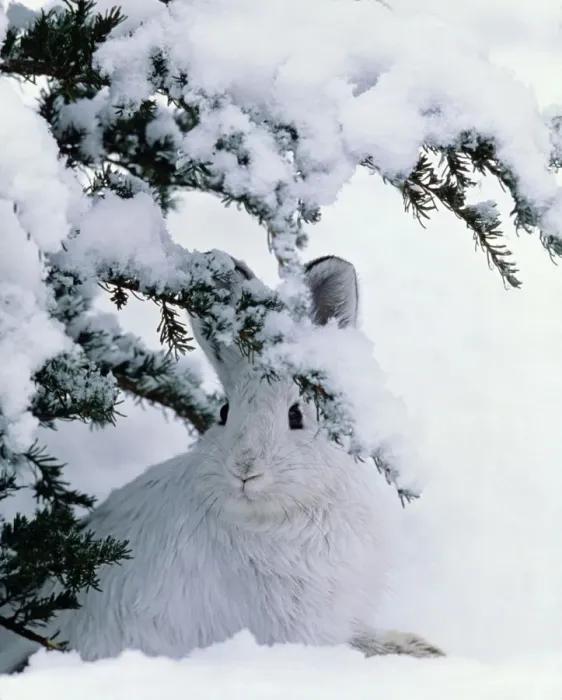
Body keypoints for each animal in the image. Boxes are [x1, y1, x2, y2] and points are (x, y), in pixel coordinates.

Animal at [0, 253, 444, 673]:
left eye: (296, 416)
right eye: (225, 412)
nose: (245, 470)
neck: (281, 514)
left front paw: (422, 647)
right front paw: (419, 651)